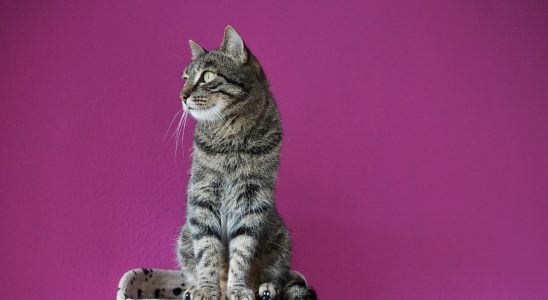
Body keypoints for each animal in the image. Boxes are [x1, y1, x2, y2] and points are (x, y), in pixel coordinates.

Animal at [176, 26, 316, 300]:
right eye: (185, 78)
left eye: (207, 76)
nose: (182, 95)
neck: (232, 138)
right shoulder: (202, 197)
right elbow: (207, 252)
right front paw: (207, 289)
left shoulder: (253, 201)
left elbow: (242, 253)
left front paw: (239, 289)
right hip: (184, 237)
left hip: (280, 239)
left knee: (276, 276)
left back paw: (266, 288)